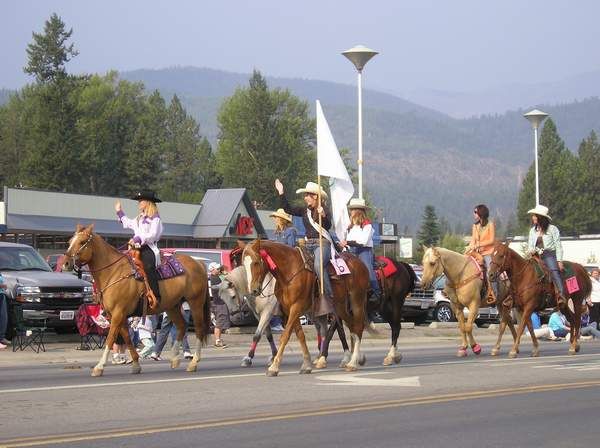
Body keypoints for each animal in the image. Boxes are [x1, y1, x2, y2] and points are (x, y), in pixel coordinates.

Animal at [62, 224, 211, 374]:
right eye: (69, 242)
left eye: (82, 242)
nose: (66, 263)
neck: (113, 272)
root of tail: (199, 263)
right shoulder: (116, 315)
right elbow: (127, 338)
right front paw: (135, 364)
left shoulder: (118, 313)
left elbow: (110, 338)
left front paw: (99, 366)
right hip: (172, 306)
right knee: (182, 326)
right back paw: (174, 358)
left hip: (195, 303)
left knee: (199, 329)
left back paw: (193, 362)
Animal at [241, 240, 368, 376]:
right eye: (244, 264)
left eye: (256, 262)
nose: (253, 290)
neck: (290, 270)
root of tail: (360, 263)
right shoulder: (289, 309)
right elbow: (300, 335)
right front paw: (306, 365)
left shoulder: (294, 307)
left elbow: (285, 336)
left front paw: (274, 367)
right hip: (340, 306)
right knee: (350, 326)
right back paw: (350, 358)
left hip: (357, 301)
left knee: (357, 326)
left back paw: (352, 362)